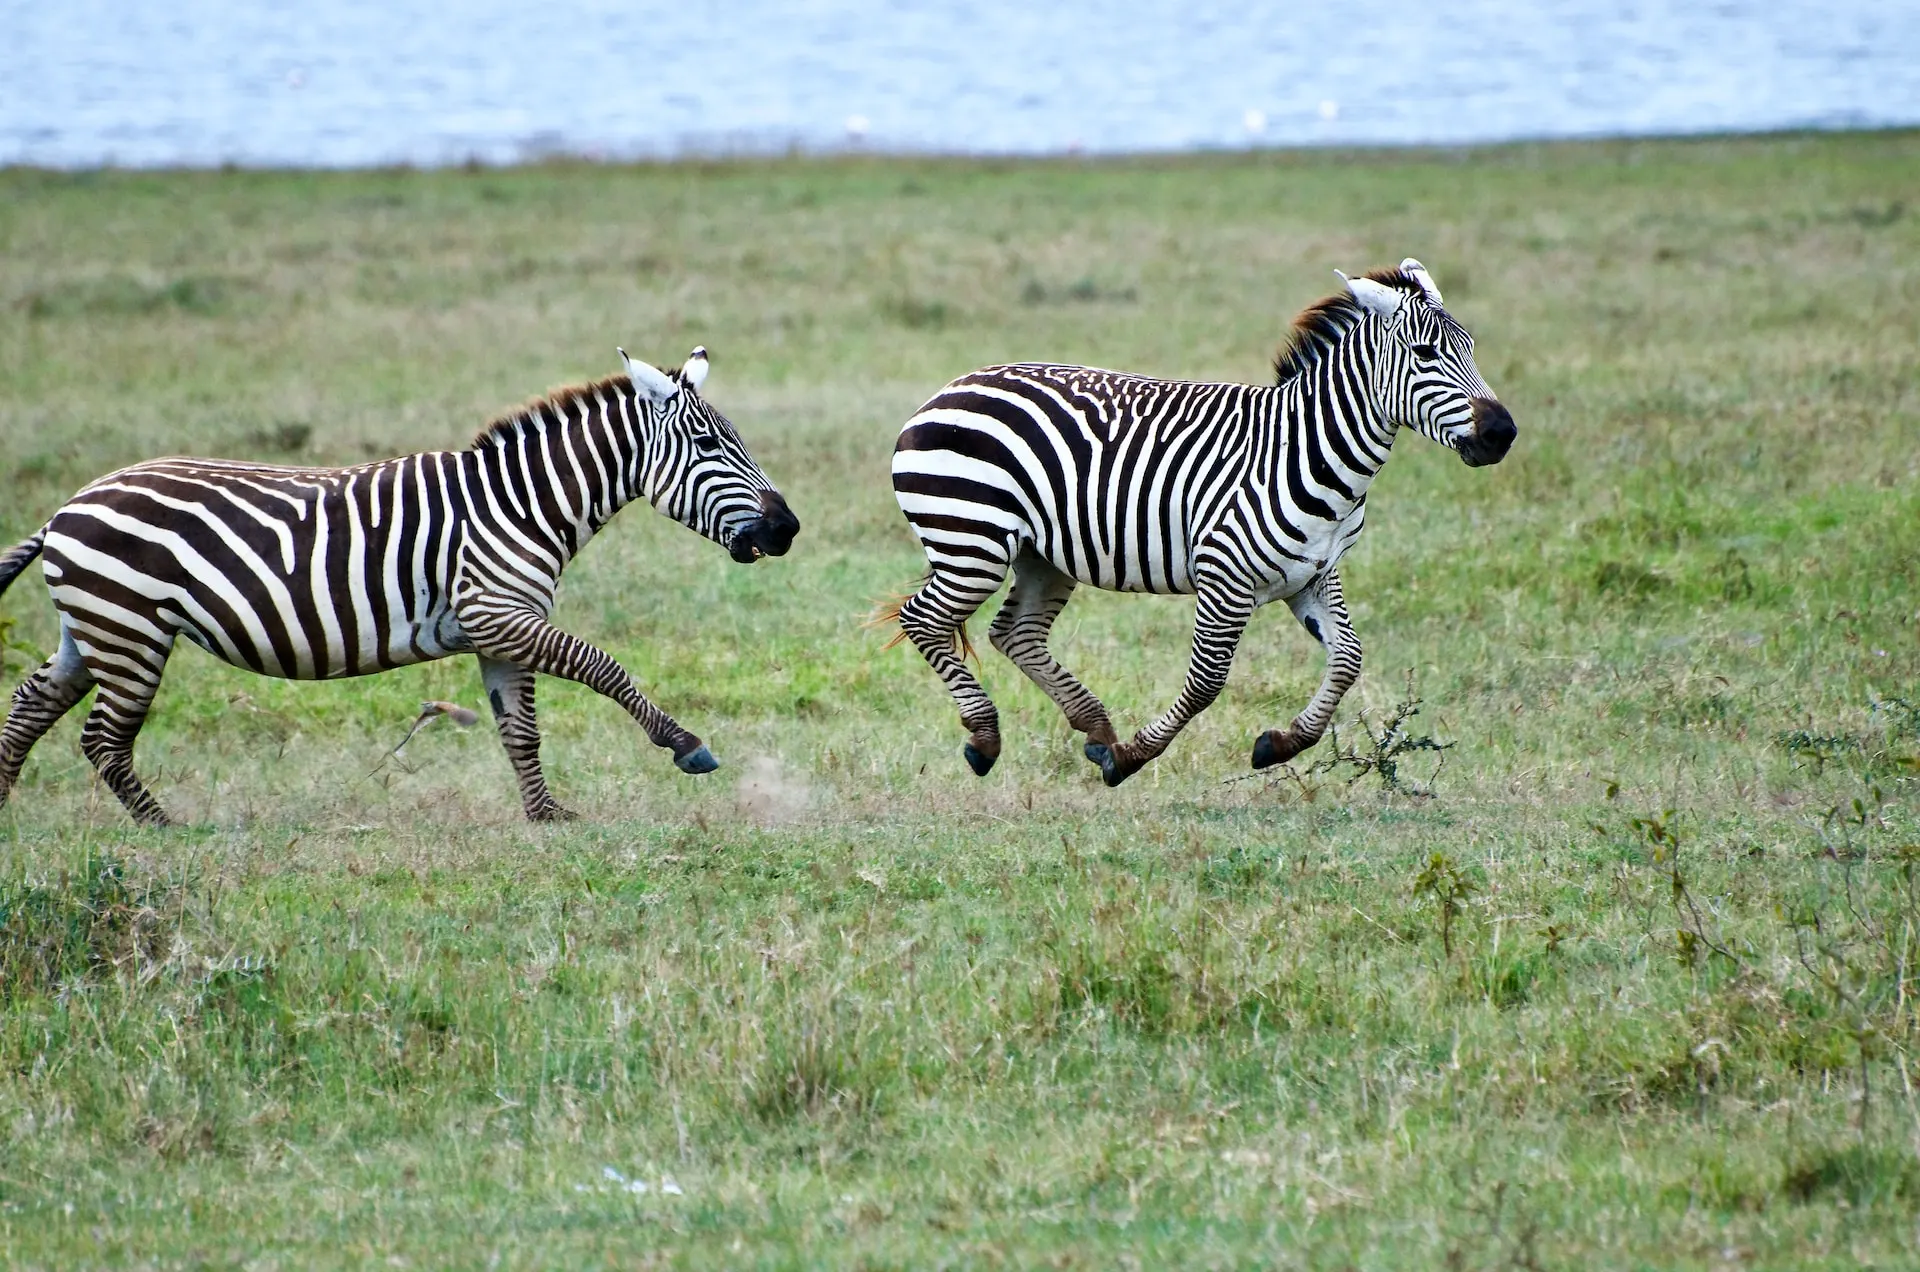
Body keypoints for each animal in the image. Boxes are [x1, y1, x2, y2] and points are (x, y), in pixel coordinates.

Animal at [0, 347, 800, 826]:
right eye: (709, 444)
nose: (788, 528)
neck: (524, 502)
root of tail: (66, 507)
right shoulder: (499, 613)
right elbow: (602, 665)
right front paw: (684, 744)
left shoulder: (497, 630)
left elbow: (520, 731)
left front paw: (546, 817)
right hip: (131, 631)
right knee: (104, 740)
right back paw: (166, 830)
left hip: (96, 630)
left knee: (32, 704)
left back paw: (6, 809)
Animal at [885, 259, 1515, 787]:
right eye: (1426, 353)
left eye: (1471, 348)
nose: (1501, 434)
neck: (1307, 452)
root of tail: (951, 387)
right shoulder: (1224, 577)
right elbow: (1207, 680)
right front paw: (1130, 759)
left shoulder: (1314, 575)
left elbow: (1348, 659)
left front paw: (1282, 743)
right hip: (973, 543)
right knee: (924, 619)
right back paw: (986, 738)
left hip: (1043, 556)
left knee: (1014, 633)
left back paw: (1094, 727)